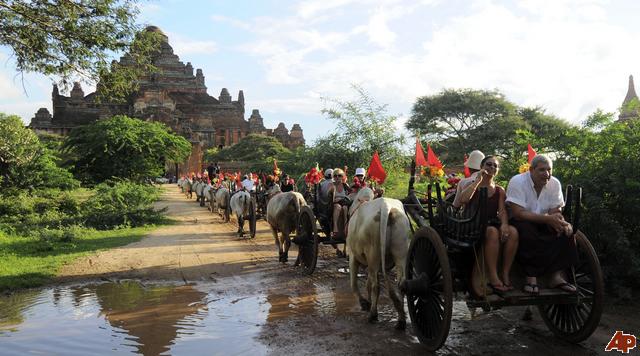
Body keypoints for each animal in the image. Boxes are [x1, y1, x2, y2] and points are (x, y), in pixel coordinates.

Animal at [344, 188, 410, 330]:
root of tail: (386, 207)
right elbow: (367, 283)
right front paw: (368, 301)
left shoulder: (352, 255)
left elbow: (354, 284)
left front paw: (364, 303)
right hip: (401, 252)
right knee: (401, 284)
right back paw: (401, 320)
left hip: (373, 253)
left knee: (376, 286)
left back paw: (373, 315)